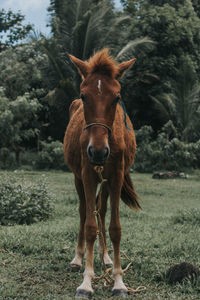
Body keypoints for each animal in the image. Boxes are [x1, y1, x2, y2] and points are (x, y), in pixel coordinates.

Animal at [63, 48, 140, 298]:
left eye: (116, 97)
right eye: (84, 95)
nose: (97, 152)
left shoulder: (116, 176)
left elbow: (115, 228)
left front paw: (118, 281)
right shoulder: (87, 174)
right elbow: (89, 226)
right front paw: (87, 282)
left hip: (105, 181)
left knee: (102, 209)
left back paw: (105, 257)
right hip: (78, 177)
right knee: (83, 211)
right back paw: (78, 258)